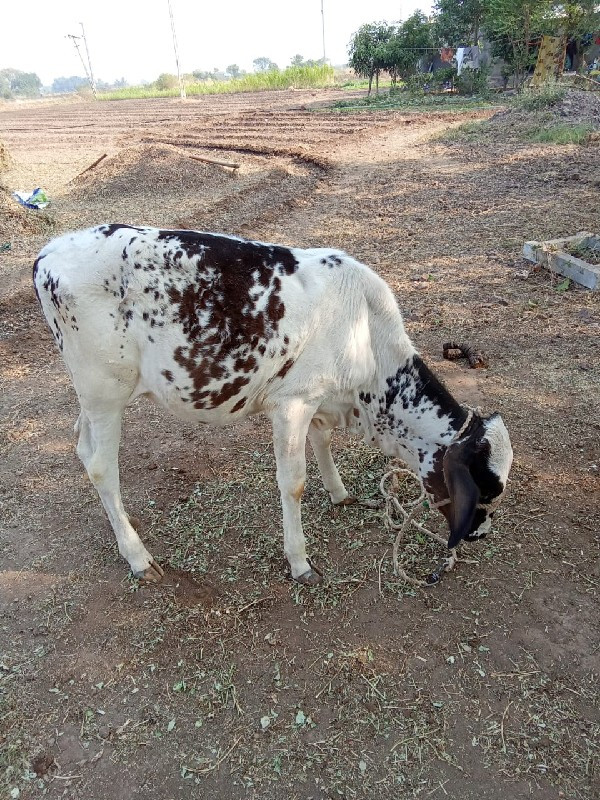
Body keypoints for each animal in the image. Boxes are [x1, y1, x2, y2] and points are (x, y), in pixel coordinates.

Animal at [32, 222, 512, 584]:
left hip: (92, 395)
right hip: (105, 391)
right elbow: (293, 483)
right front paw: (299, 560)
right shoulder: (292, 403)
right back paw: (136, 555)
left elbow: (322, 443)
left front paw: (340, 494)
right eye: (485, 489)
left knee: (81, 445)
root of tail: (49, 253)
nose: (481, 534)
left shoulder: (318, 398)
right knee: (101, 467)